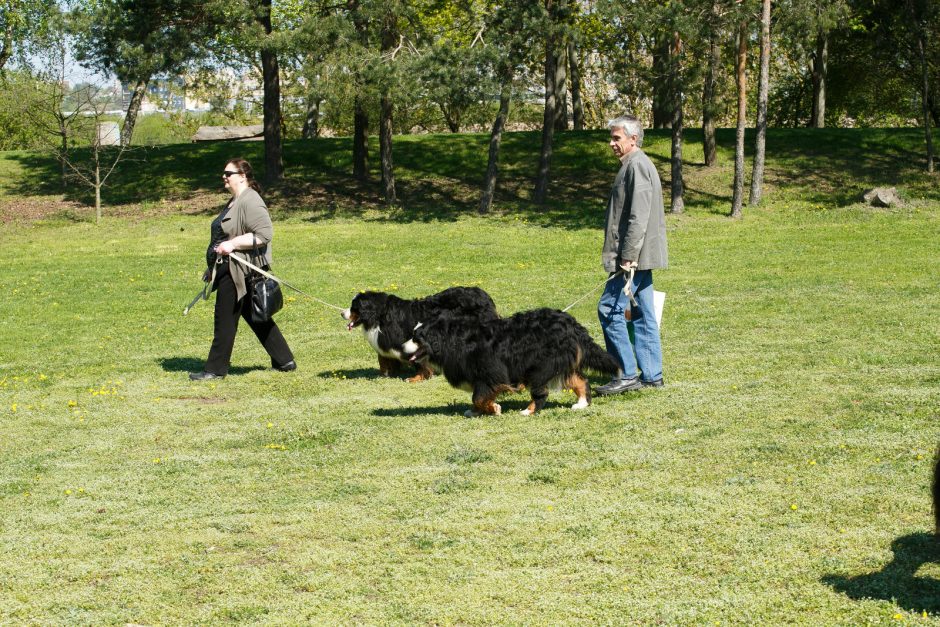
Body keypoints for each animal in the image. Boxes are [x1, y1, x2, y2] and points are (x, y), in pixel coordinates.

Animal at [344, 288, 500, 382]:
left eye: (354, 307)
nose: (341, 313)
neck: (379, 315)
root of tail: (484, 295)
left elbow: (419, 362)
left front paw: (417, 378)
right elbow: (384, 360)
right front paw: (385, 374)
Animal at [402, 310, 616, 418]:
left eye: (416, 338)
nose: (402, 347)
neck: (452, 338)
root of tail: (571, 323)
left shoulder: (490, 372)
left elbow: (479, 397)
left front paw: (493, 409)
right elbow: (478, 398)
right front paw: (476, 411)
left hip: (540, 366)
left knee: (541, 392)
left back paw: (528, 411)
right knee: (580, 380)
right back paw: (581, 404)